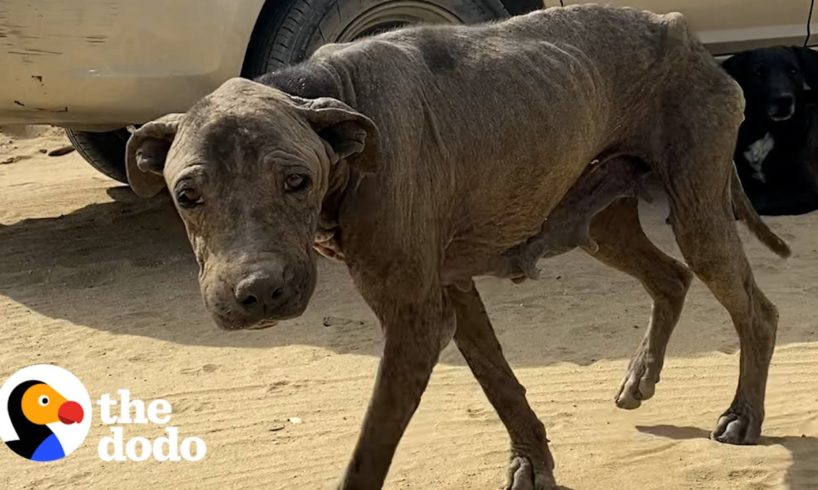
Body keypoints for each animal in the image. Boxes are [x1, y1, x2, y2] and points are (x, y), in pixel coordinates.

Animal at [124, 4, 788, 490]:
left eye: (297, 181)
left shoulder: (414, 319)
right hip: (603, 224)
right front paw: (532, 459)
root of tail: (683, 32)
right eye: (187, 195)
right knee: (670, 277)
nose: (258, 293)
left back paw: (743, 414)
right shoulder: (450, 290)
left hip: (699, 215)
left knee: (757, 309)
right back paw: (641, 378)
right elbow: (498, 379)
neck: (334, 100)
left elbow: (370, 451)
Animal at [720, 47, 816, 215]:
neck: (766, 129)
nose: (783, 100)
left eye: (793, 71)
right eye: (758, 72)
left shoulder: (807, 190)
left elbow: (757, 200)